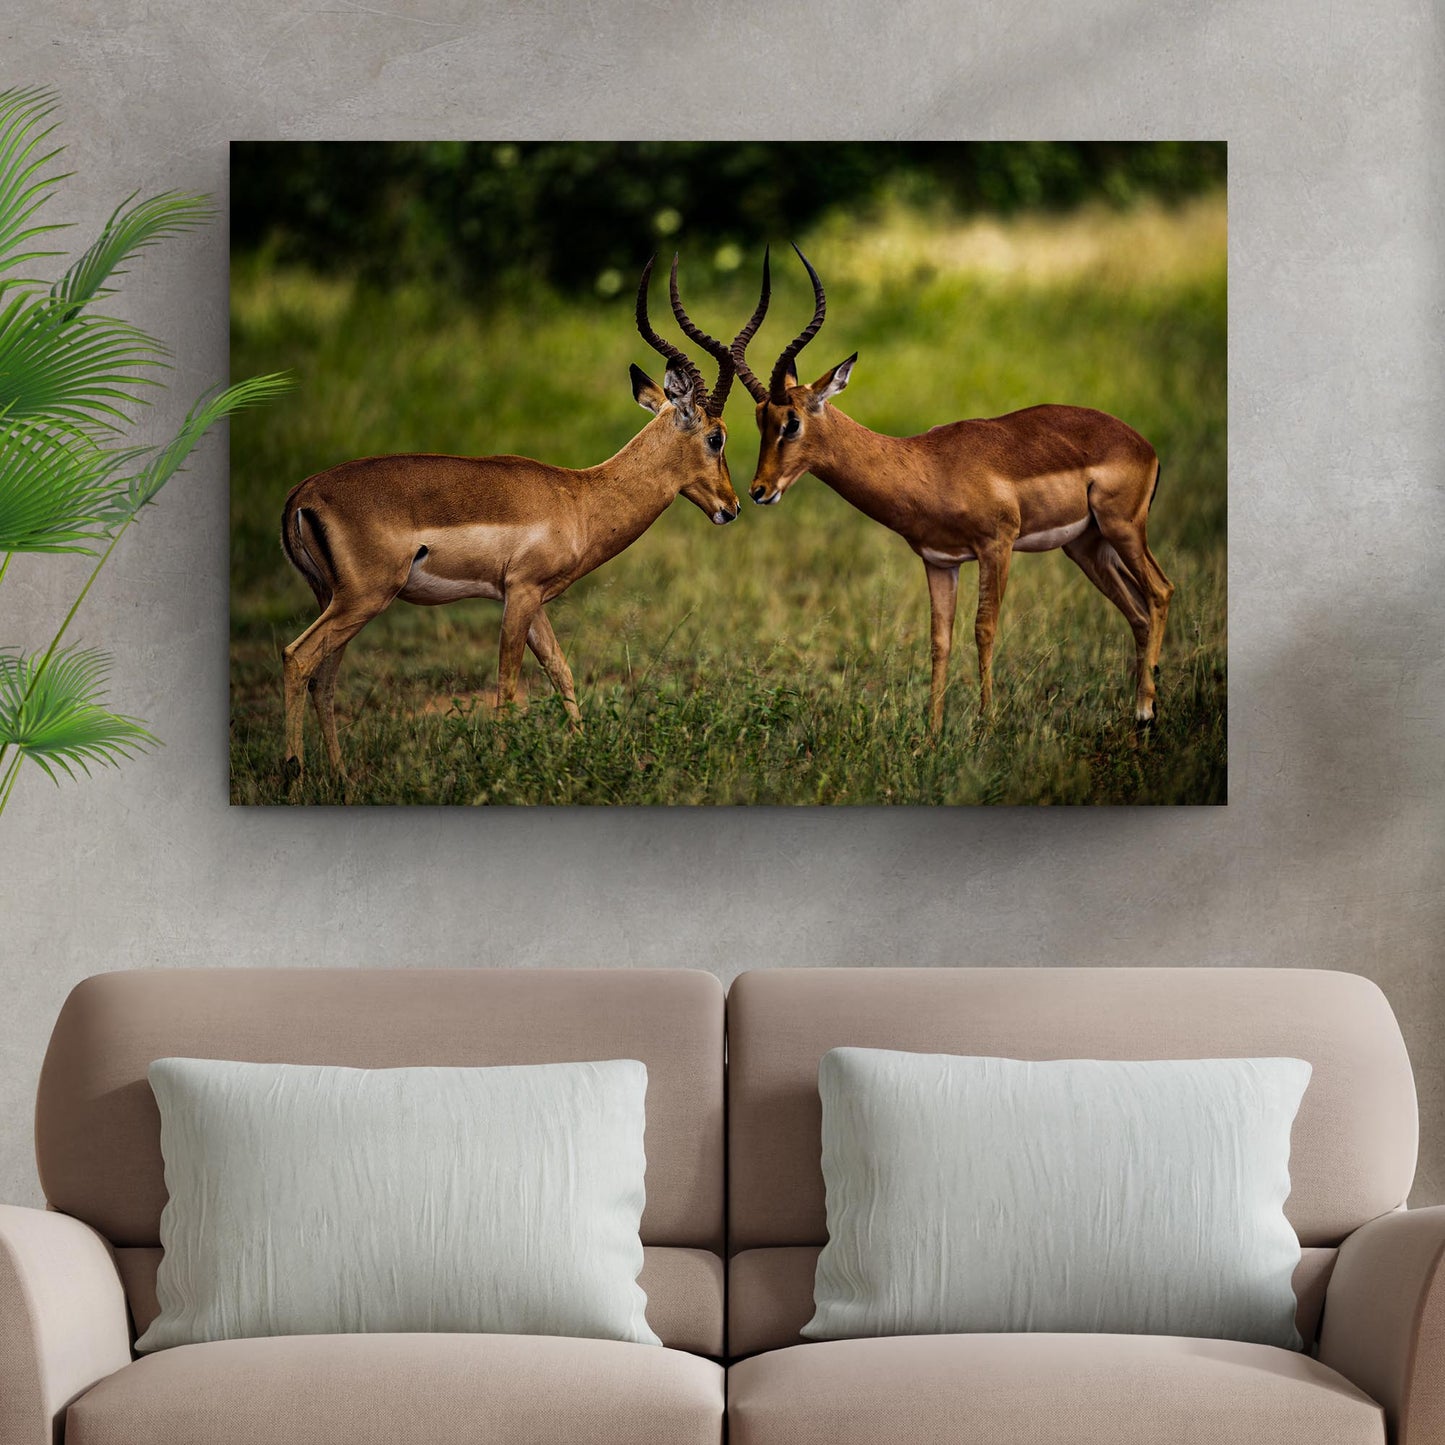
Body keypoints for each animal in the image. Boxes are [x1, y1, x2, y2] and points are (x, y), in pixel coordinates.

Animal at [278, 255, 758, 784]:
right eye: (717, 438)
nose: (732, 506)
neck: (579, 498)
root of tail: (303, 494)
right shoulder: (521, 593)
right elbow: (508, 685)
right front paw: (503, 766)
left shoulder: (533, 600)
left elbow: (561, 670)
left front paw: (580, 753)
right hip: (364, 598)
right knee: (298, 658)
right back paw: (293, 772)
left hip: (335, 599)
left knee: (324, 678)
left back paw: (341, 776)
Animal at [732, 246, 1175, 733]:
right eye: (759, 418)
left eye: (791, 422)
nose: (758, 490)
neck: (929, 465)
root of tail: (1143, 444)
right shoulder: (940, 561)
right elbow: (939, 640)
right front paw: (931, 733)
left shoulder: (996, 546)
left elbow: (984, 628)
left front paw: (986, 724)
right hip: (1086, 545)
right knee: (1137, 611)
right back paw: (1140, 714)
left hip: (1123, 528)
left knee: (1160, 592)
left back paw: (1146, 711)